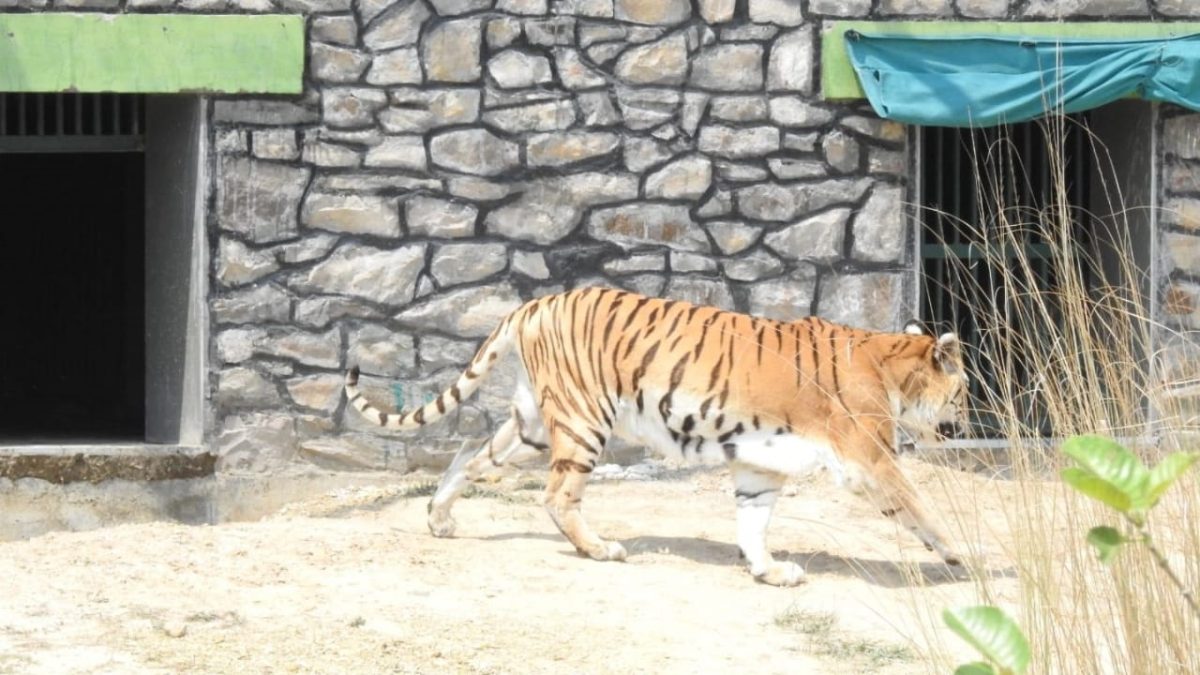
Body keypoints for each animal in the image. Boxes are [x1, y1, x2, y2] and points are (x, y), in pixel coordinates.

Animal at [344, 287, 968, 586]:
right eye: (961, 392)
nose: (963, 424)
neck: (892, 365)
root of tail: (535, 303)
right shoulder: (870, 456)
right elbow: (921, 505)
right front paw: (965, 556)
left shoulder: (760, 465)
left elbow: (753, 523)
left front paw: (769, 573)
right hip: (583, 419)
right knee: (557, 496)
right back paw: (600, 549)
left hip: (534, 426)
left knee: (470, 460)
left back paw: (440, 519)